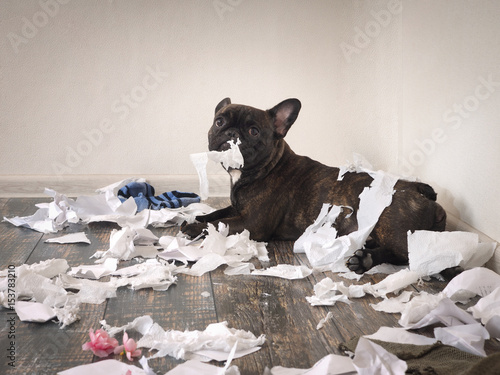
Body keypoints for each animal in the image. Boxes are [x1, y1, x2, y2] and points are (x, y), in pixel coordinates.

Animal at [182, 98, 448, 274]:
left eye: (254, 131)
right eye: (219, 121)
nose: (231, 133)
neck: (266, 167)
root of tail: (420, 190)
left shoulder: (251, 223)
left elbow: (221, 224)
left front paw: (194, 228)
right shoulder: (237, 208)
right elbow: (216, 214)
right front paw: (197, 218)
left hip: (390, 224)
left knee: (407, 256)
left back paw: (367, 260)